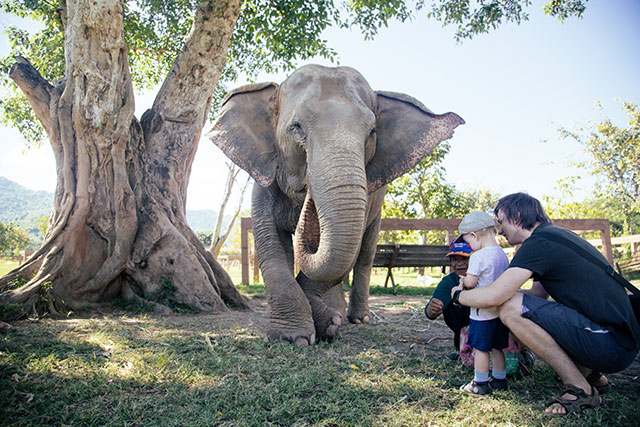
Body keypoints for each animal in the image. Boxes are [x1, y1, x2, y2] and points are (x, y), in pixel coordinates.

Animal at [209, 64, 463, 345]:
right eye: (296, 127)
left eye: (372, 132)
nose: (309, 188)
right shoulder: (265, 177)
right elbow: (270, 241)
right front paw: (295, 337)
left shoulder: (367, 193)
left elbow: (345, 252)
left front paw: (329, 325)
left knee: (365, 254)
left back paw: (358, 318)